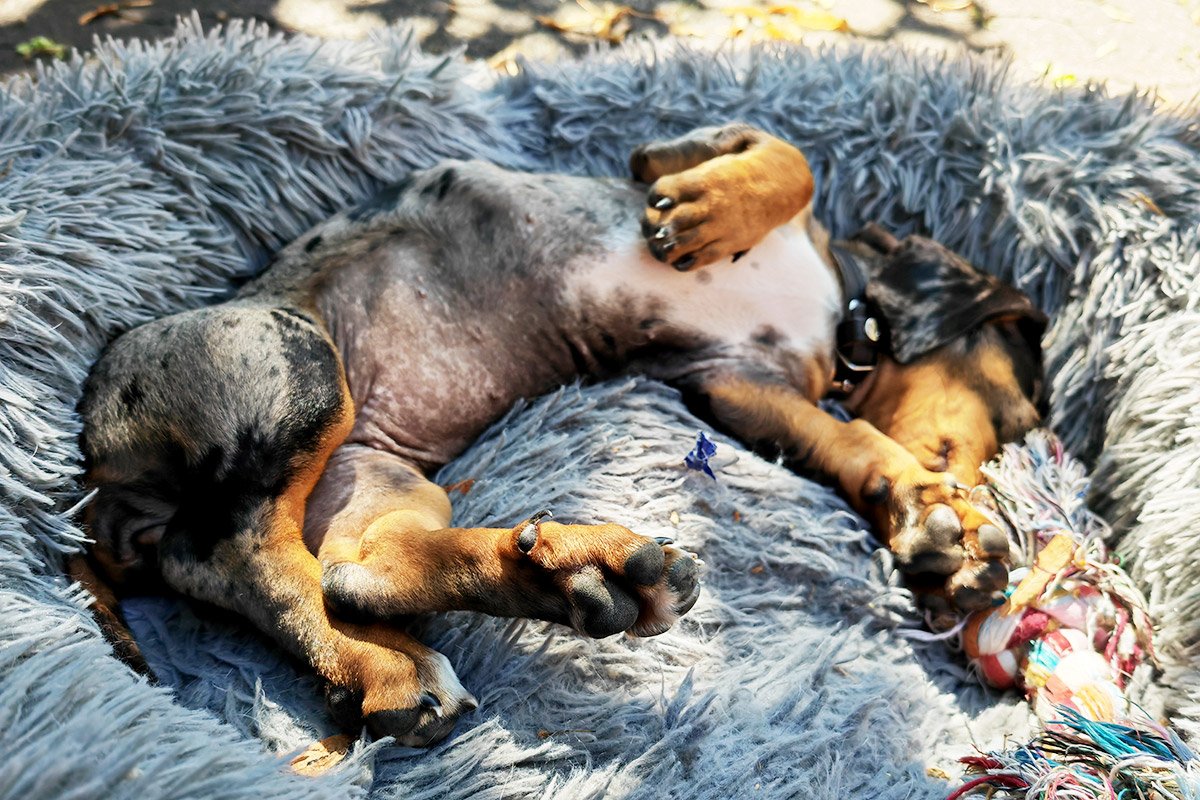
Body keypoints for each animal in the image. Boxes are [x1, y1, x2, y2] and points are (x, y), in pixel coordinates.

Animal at [74, 123, 1046, 747]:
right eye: (1023, 417)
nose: (1006, 469)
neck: (837, 315)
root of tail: (105, 478)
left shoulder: (738, 382)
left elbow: (852, 445)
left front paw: (936, 528)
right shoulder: (738, 342)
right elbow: (786, 155)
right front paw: (706, 208)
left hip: (373, 473)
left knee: (349, 574)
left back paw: (568, 575)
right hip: (299, 368)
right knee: (238, 554)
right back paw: (401, 659)